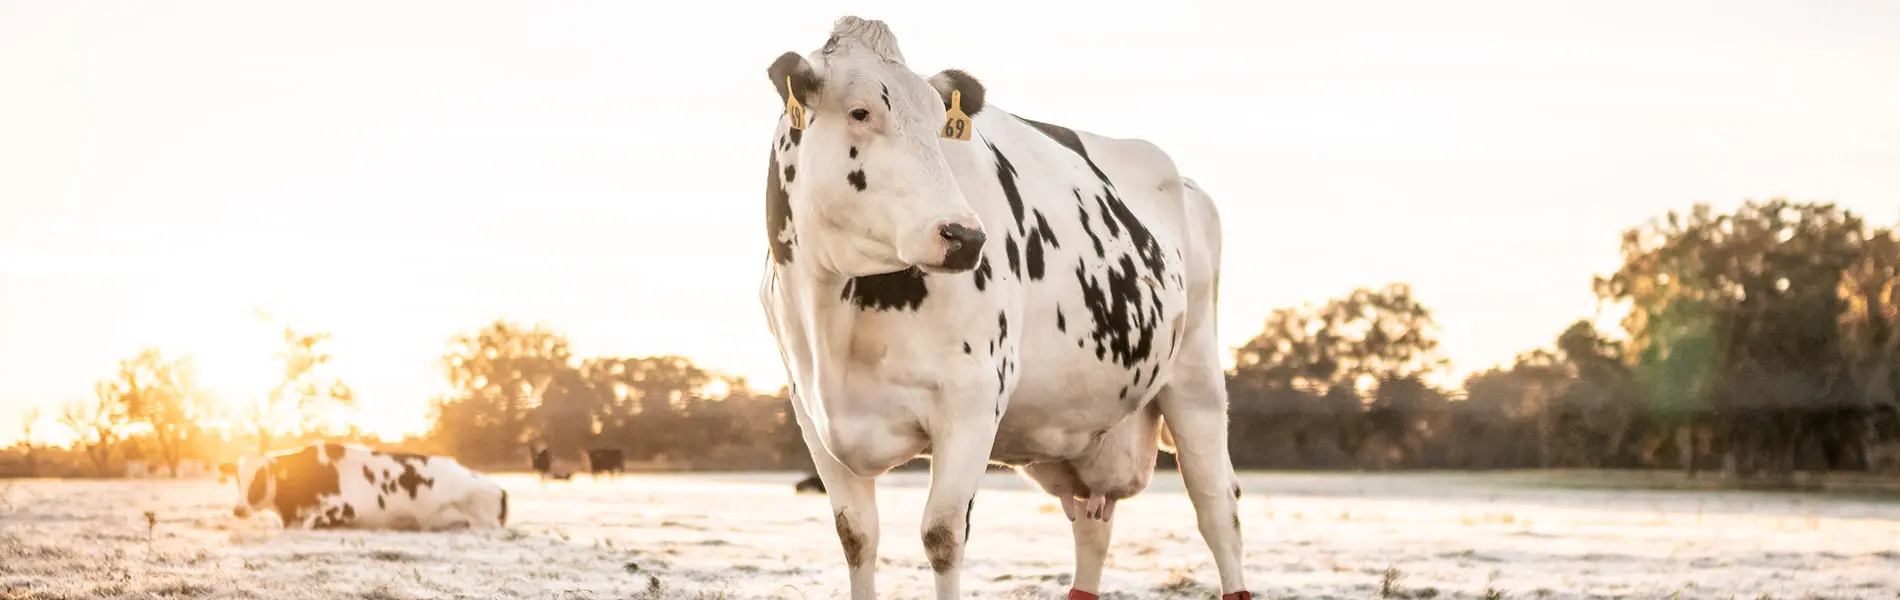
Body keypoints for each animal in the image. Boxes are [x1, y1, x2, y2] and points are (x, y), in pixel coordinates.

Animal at [757, 16, 1249, 600]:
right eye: (860, 111)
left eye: (940, 126)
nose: (965, 236)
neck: (833, 317)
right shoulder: (813, 415)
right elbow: (856, 536)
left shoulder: (972, 399)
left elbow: (942, 535)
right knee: (1093, 525)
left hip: (1197, 380)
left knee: (1218, 508)